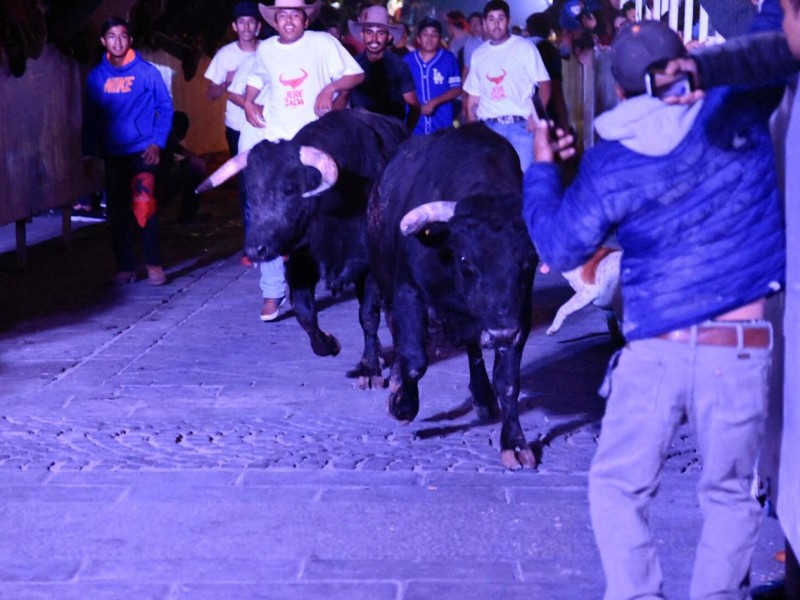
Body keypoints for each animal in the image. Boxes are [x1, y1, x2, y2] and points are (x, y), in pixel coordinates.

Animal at [368, 123, 540, 468]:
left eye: (528, 261)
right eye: (465, 259)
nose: (500, 334)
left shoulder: (519, 315)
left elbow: (508, 381)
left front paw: (515, 443)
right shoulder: (408, 291)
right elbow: (415, 359)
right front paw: (402, 404)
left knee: (473, 348)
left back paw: (483, 396)